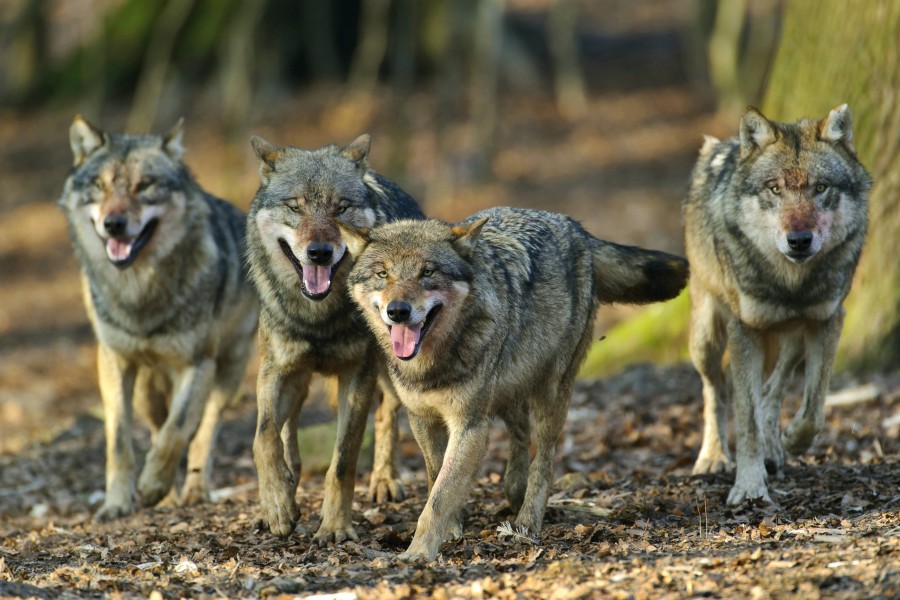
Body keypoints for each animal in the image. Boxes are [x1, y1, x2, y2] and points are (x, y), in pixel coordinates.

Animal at [58, 116, 258, 520]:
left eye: (144, 185)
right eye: (100, 186)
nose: (114, 224)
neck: (140, 294)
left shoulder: (197, 365)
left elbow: (177, 431)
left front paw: (151, 485)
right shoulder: (114, 362)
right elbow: (120, 442)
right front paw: (118, 503)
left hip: (227, 372)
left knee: (203, 431)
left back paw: (193, 490)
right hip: (147, 390)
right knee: (156, 425)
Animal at [246, 132, 426, 544]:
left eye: (341, 208)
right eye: (295, 207)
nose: (319, 252)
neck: (319, 319)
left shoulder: (357, 377)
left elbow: (342, 461)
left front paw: (334, 527)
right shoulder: (276, 370)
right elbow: (263, 438)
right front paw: (276, 505)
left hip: (391, 368)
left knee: (387, 415)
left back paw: (384, 481)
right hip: (298, 382)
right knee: (287, 434)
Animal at [342, 207, 688, 564]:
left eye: (428, 272)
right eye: (382, 273)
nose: (398, 311)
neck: (433, 364)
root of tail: (575, 227)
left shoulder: (470, 425)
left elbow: (439, 497)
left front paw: (419, 552)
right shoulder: (421, 418)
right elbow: (437, 477)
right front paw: (450, 528)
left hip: (551, 394)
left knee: (545, 459)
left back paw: (528, 519)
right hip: (511, 387)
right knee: (520, 433)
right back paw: (514, 491)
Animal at [684, 105, 868, 504]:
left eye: (820, 188)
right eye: (775, 189)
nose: (799, 240)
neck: (791, 284)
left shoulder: (828, 320)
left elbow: (814, 407)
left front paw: (793, 441)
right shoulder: (745, 331)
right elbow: (746, 419)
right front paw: (749, 486)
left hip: (793, 338)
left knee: (772, 389)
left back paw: (775, 448)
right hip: (706, 337)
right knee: (715, 390)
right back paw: (713, 456)